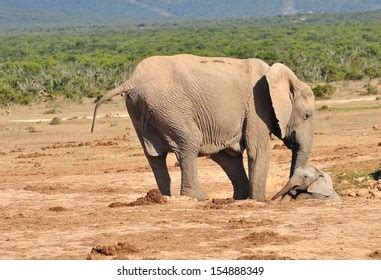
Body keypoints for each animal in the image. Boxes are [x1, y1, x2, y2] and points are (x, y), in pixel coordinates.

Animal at [90, 53, 314, 200]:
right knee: (188, 144)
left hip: (140, 109)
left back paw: (163, 197)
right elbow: (258, 151)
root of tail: (133, 80)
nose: (286, 196)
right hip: (171, 108)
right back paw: (197, 197)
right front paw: (257, 200)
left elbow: (227, 157)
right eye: (307, 115)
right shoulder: (256, 106)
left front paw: (240, 198)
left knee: (154, 156)